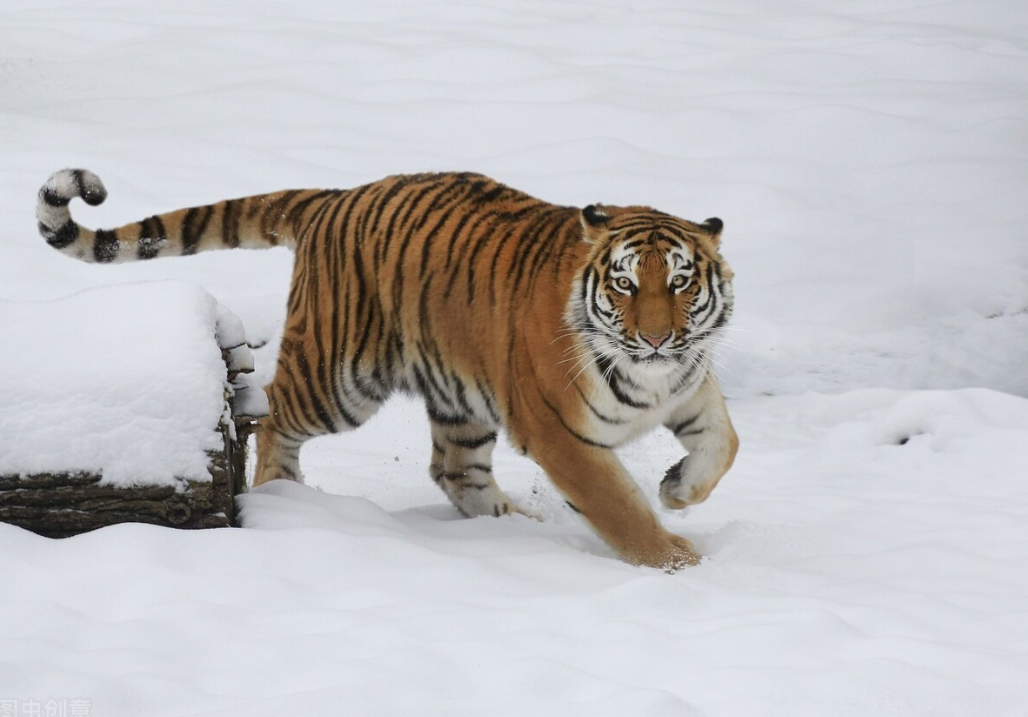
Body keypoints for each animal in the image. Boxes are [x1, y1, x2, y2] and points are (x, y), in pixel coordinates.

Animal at [36, 166, 736, 563]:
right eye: (624, 284)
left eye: (679, 283)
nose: (655, 338)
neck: (651, 376)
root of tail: (336, 197)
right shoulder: (559, 432)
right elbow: (617, 506)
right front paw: (676, 561)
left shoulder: (690, 383)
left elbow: (723, 445)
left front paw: (678, 490)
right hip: (340, 377)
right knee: (272, 415)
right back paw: (282, 494)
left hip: (459, 395)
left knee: (454, 470)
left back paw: (511, 528)